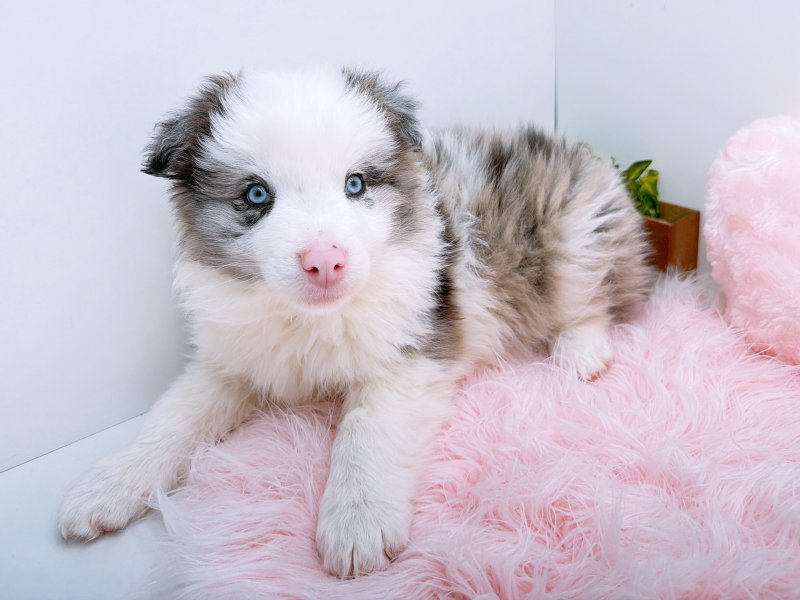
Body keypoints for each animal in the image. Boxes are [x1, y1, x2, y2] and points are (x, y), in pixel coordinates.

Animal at [58, 68, 653, 577]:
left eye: (356, 185)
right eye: (256, 195)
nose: (325, 261)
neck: (308, 320)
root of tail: (583, 155)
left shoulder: (407, 361)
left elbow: (365, 437)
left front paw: (357, 524)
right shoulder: (233, 359)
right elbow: (172, 418)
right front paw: (108, 485)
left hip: (575, 239)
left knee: (603, 298)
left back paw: (580, 351)